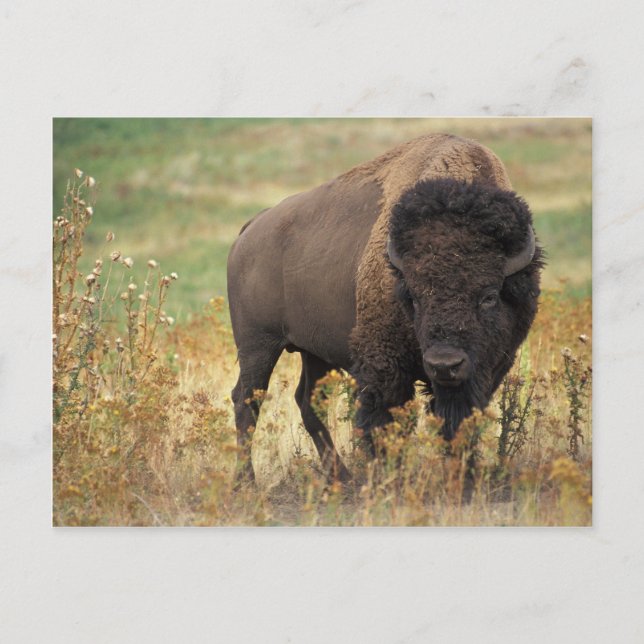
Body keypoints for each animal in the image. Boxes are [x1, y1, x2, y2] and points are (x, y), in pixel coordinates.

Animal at [227, 133, 543, 482]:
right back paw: (246, 481)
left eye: (489, 295)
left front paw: (463, 475)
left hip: (314, 352)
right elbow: (385, 422)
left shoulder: (488, 368)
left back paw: (341, 477)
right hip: (258, 345)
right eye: (414, 297)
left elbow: (458, 420)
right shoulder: (385, 366)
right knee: (247, 400)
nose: (444, 364)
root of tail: (251, 228)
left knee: (307, 401)